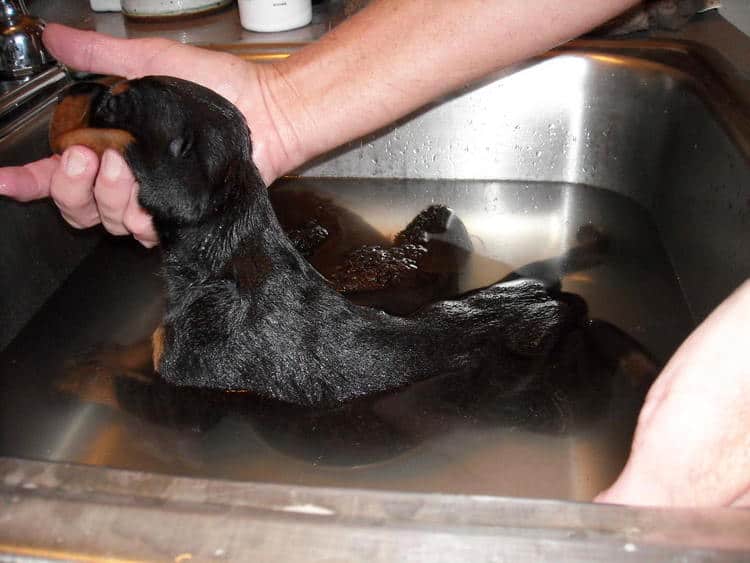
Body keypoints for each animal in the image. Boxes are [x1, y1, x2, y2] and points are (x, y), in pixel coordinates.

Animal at [50, 77, 592, 408]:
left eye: (113, 103)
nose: (70, 85)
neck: (227, 251)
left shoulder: (181, 376)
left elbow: (113, 379)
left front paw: (74, 368)